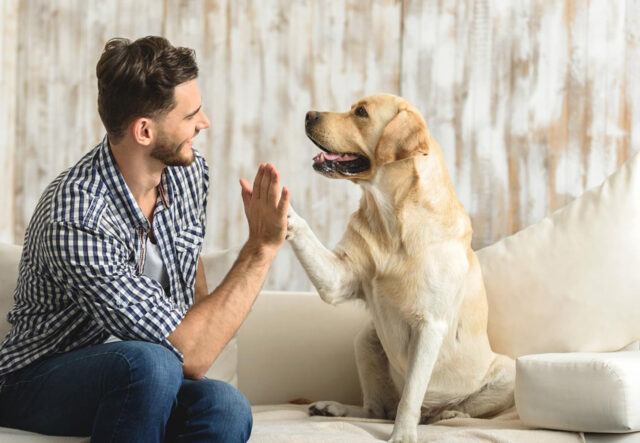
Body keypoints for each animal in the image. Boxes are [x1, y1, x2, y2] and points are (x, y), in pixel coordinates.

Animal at [284, 94, 516, 443]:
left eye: (361, 112)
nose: (309, 114)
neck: (392, 219)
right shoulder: (338, 278)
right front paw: (278, 205)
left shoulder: (429, 325)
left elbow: (411, 395)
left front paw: (403, 434)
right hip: (366, 340)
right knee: (376, 410)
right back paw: (334, 408)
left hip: (508, 372)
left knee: (446, 409)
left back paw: (446, 413)